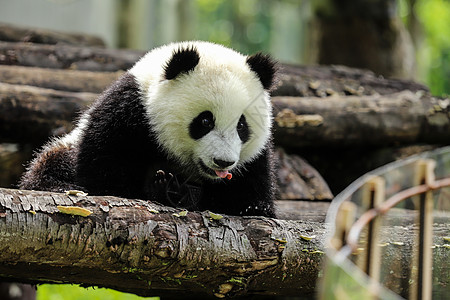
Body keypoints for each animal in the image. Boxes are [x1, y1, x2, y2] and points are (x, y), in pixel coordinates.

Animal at [20, 41, 278, 217]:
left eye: (242, 125)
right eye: (205, 121)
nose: (223, 162)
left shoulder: (255, 162)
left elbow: (251, 202)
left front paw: (182, 192)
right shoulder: (125, 115)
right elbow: (106, 180)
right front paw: (166, 187)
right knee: (48, 167)